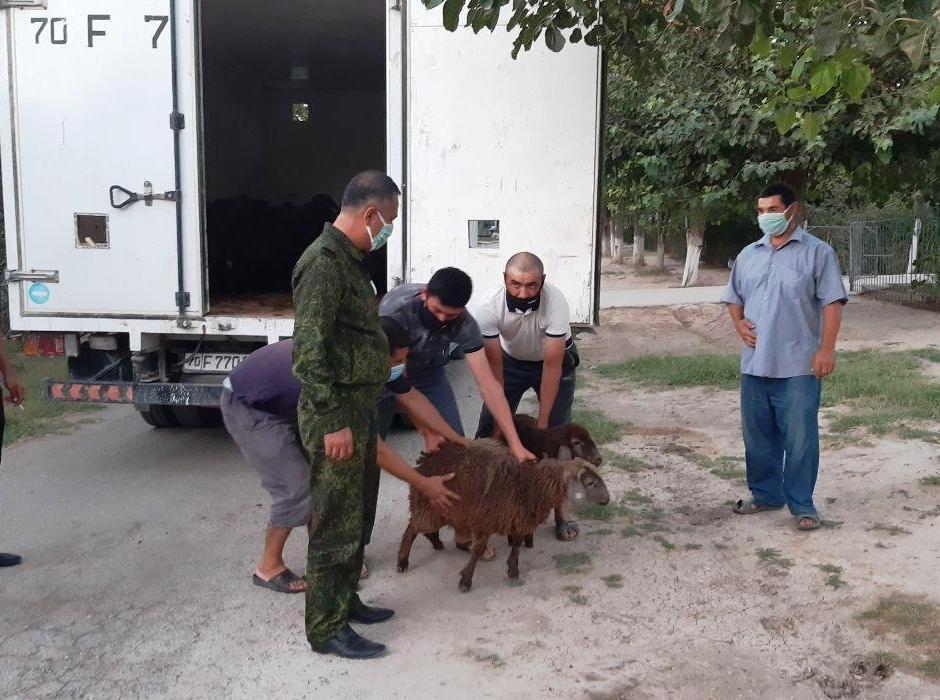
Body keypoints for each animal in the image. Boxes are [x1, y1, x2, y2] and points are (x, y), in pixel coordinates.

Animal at [396, 440, 608, 592]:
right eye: (590, 483)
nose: (607, 499)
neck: (528, 486)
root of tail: (426, 459)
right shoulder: (485, 521)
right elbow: (478, 550)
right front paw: (466, 580)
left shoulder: (518, 520)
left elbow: (516, 546)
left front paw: (513, 570)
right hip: (429, 507)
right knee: (411, 528)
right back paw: (403, 561)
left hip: (442, 509)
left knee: (423, 528)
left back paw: (436, 542)